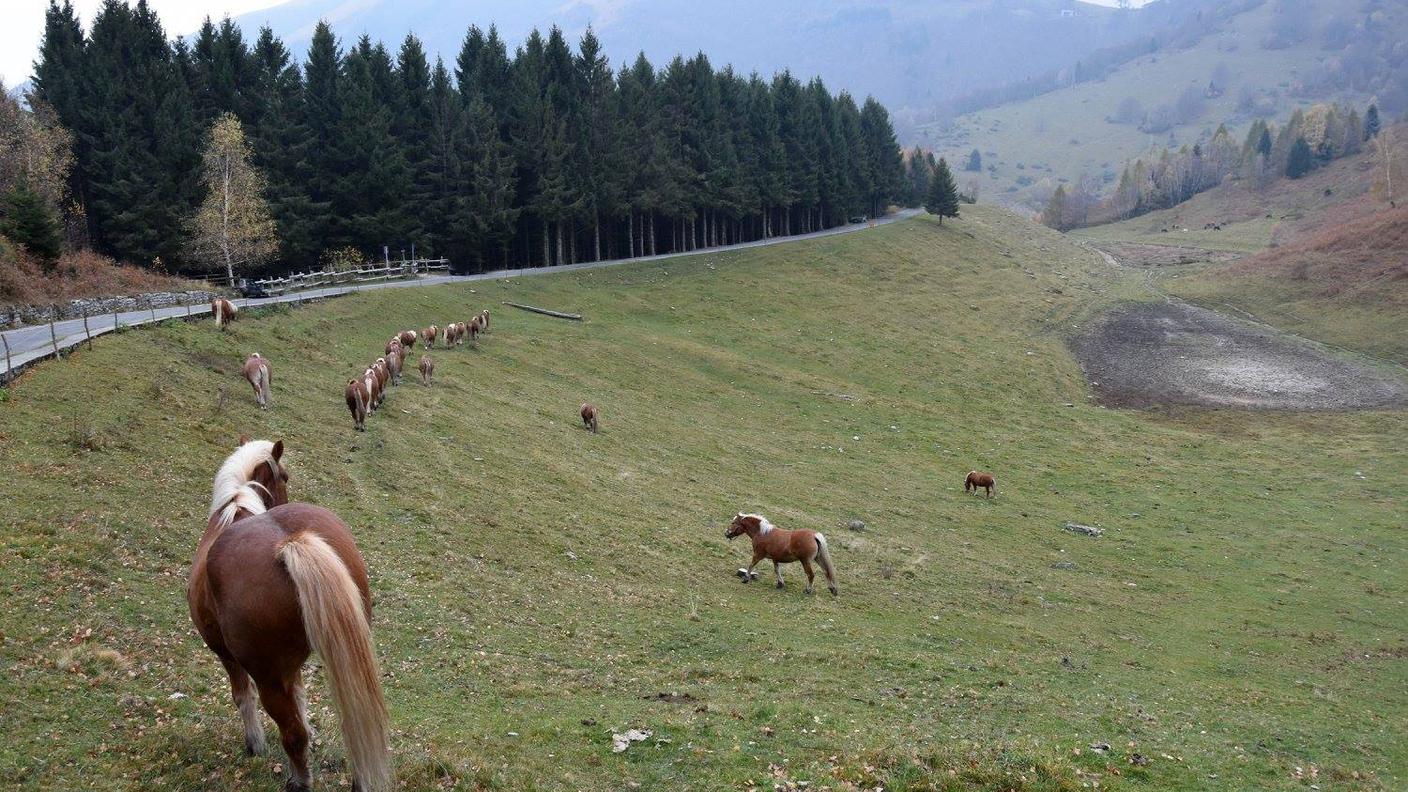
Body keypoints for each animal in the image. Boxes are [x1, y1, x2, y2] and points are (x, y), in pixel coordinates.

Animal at [184, 436, 391, 789]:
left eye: (285, 477)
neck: (237, 506)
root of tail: (290, 543)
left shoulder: (225, 654)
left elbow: (243, 697)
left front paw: (255, 744)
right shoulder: (292, 668)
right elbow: (303, 703)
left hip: (268, 677)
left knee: (292, 734)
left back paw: (299, 781)